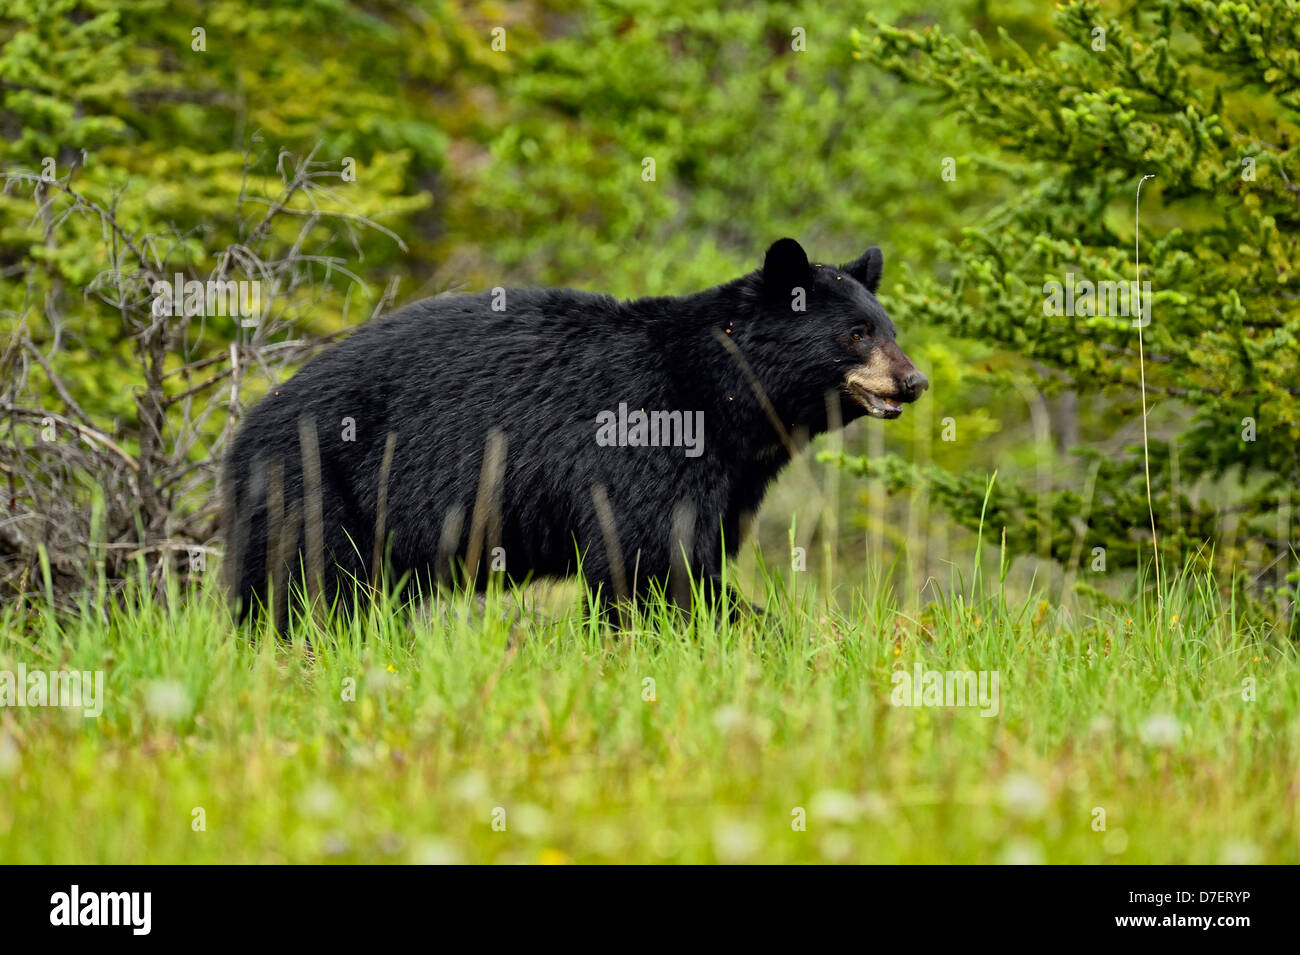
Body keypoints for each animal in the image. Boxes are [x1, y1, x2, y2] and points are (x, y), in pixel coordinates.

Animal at [226, 239, 925, 628]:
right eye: (857, 332)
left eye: (889, 328)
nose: (914, 381)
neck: (720, 394)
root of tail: (247, 429)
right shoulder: (648, 438)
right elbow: (647, 559)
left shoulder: (729, 477)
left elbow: (692, 555)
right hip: (320, 486)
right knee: (306, 587)